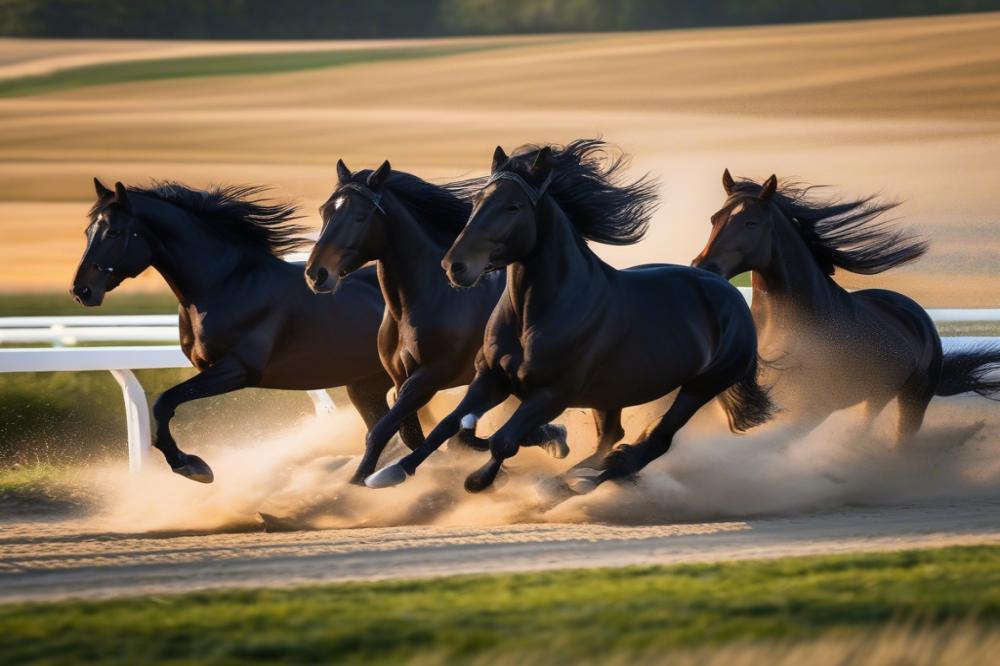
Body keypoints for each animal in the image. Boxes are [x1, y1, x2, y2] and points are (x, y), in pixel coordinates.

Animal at [70, 180, 414, 482]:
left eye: (114, 231)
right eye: (88, 231)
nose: (81, 290)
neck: (227, 285)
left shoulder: (237, 369)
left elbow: (163, 404)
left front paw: (192, 466)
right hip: (366, 385)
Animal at [304, 161, 568, 482]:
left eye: (359, 216)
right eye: (324, 211)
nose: (316, 274)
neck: (421, 302)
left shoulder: (429, 377)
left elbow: (382, 431)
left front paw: (359, 481)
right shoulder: (400, 378)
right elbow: (411, 434)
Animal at [368, 140, 772, 490]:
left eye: (513, 207)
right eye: (477, 199)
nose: (455, 266)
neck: (535, 313)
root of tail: (730, 294)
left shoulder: (551, 394)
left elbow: (503, 440)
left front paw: (478, 481)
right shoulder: (490, 378)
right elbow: (449, 426)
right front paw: (390, 472)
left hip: (700, 387)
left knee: (653, 442)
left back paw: (580, 483)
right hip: (613, 393)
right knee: (613, 436)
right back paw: (578, 475)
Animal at [696, 171, 1000, 440]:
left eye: (751, 223)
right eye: (714, 219)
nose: (703, 266)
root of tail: (917, 315)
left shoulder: (810, 409)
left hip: (913, 401)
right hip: (876, 397)